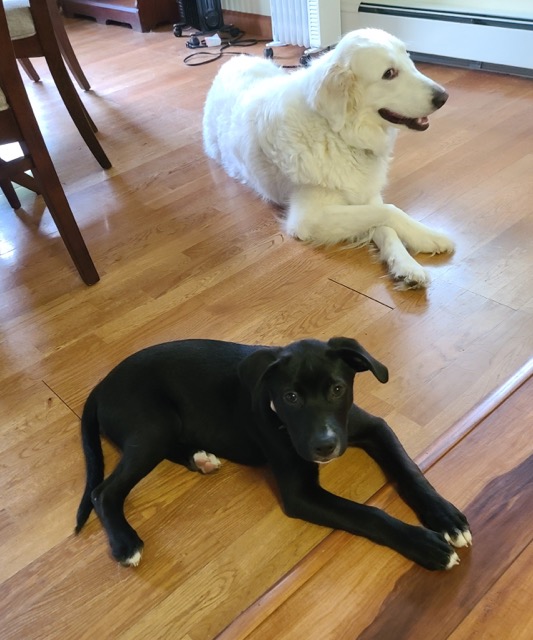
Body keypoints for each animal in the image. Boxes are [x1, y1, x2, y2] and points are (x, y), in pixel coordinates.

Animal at [76, 338, 470, 568]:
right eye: (290, 397)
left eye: (337, 389)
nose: (324, 446)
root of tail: (99, 386)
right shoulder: (301, 494)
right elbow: (368, 514)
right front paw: (425, 545)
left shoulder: (374, 427)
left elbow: (409, 470)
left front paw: (446, 518)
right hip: (152, 426)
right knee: (102, 492)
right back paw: (126, 543)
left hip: (164, 429)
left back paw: (201, 458)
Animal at [204, 28, 454, 288]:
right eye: (389, 74)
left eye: (408, 58)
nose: (444, 97)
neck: (339, 134)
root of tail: (235, 59)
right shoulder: (309, 218)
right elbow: (390, 211)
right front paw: (428, 237)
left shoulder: (366, 194)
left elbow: (386, 227)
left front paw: (407, 264)